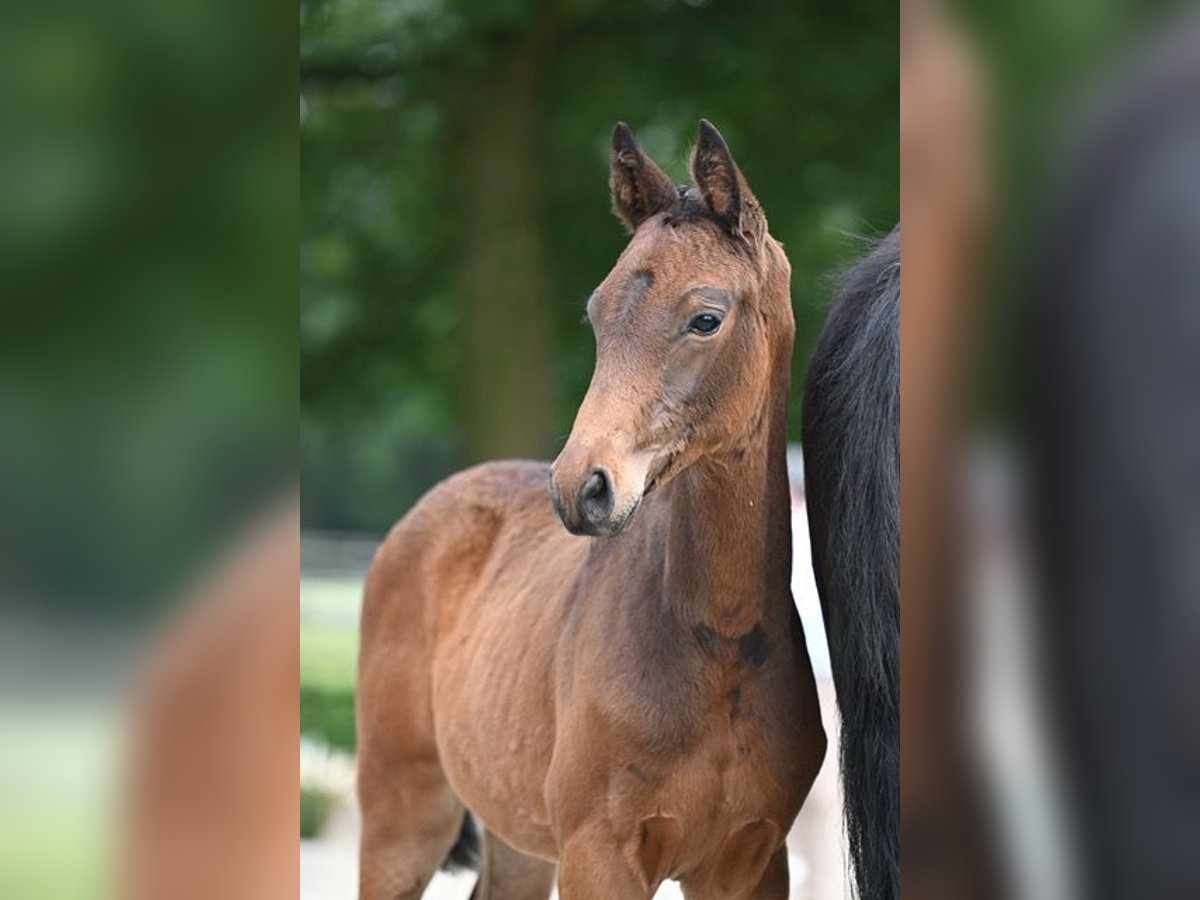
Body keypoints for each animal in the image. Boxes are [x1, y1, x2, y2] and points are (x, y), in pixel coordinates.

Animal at [355, 121, 825, 900]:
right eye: (597, 313)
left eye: (706, 318)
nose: (582, 487)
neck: (720, 648)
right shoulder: (598, 854)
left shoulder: (753, 860)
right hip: (404, 811)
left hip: (514, 831)